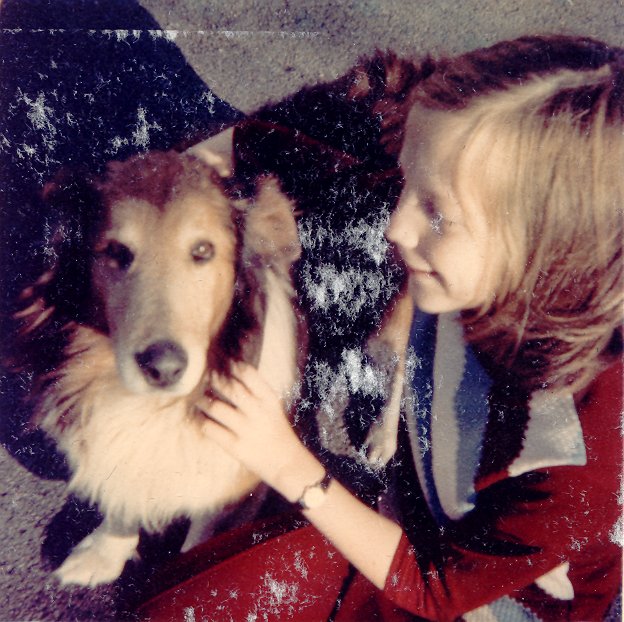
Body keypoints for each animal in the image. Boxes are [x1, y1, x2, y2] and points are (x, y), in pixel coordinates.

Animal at [12, 149, 303, 586]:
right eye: (116, 252)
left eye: (202, 251)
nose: (162, 369)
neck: (159, 406)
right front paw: (104, 555)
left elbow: (198, 542)